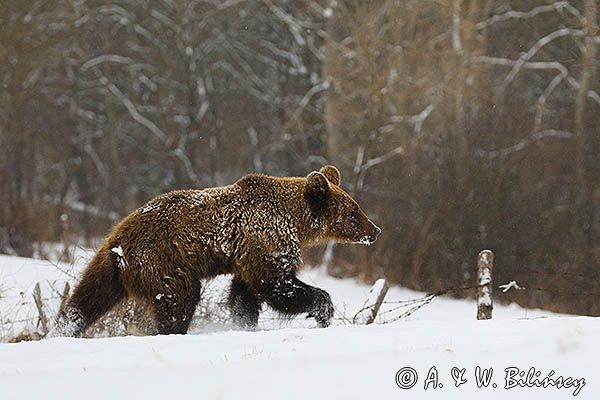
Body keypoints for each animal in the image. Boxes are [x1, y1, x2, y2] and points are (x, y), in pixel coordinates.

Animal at [52, 164, 380, 336]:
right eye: (354, 212)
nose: (374, 230)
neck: (296, 222)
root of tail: (116, 239)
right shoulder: (266, 238)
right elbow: (278, 286)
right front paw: (323, 310)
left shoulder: (245, 256)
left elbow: (244, 295)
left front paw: (244, 323)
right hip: (163, 261)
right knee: (179, 299)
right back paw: (172, 330)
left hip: (115, 271)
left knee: (86, 298)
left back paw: (65, 327)